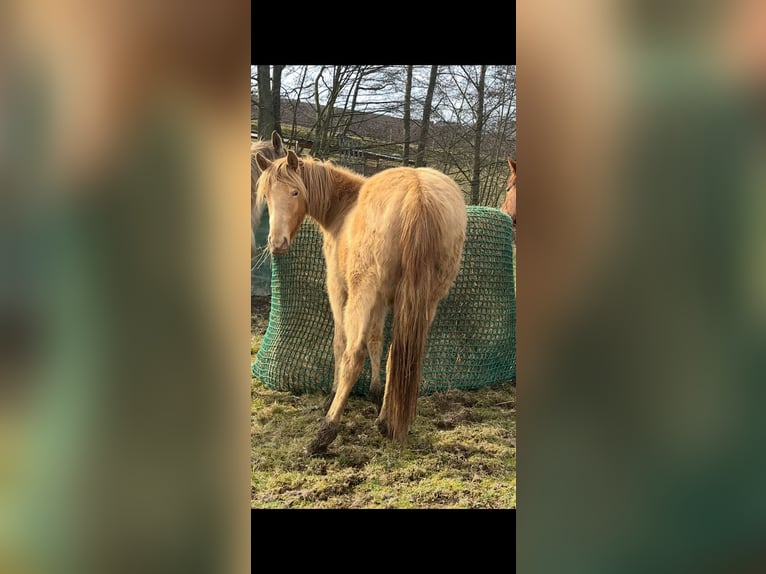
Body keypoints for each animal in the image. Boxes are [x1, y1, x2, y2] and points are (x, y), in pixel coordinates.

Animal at [254, 149, 467, 454]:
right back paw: (388, 422)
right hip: (427, 300)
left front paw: (332, 394)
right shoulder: (382, 301)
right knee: (398, 353)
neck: (344, 207)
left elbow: (341, 342)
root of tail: (418, 195)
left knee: (353, 355)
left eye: (295, 192)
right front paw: (377, 396)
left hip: (361, 295)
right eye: (268, 196)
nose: (277, 242)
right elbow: (377, 342)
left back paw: (326, 431)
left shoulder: (340, 291)